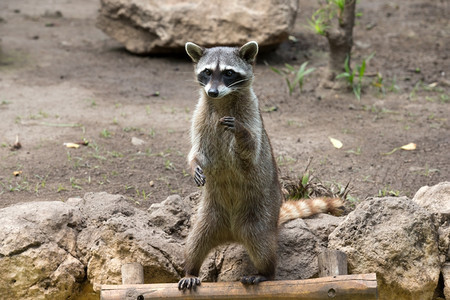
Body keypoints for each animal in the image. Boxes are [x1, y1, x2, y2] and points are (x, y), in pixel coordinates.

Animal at [178, 41, 342, 290]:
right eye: (206, 72)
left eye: (228, 73)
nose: (212, 92)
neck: (222, 100)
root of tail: (232, 235)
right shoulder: (200, 116)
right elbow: (197, 151)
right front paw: (194, 164)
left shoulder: (251, 116)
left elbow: (250, 152)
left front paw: (240, 134)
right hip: (208, 216)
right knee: (195, 242)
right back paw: (190, 269)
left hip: (260, 216)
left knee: (262, 246)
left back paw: (266, 272)